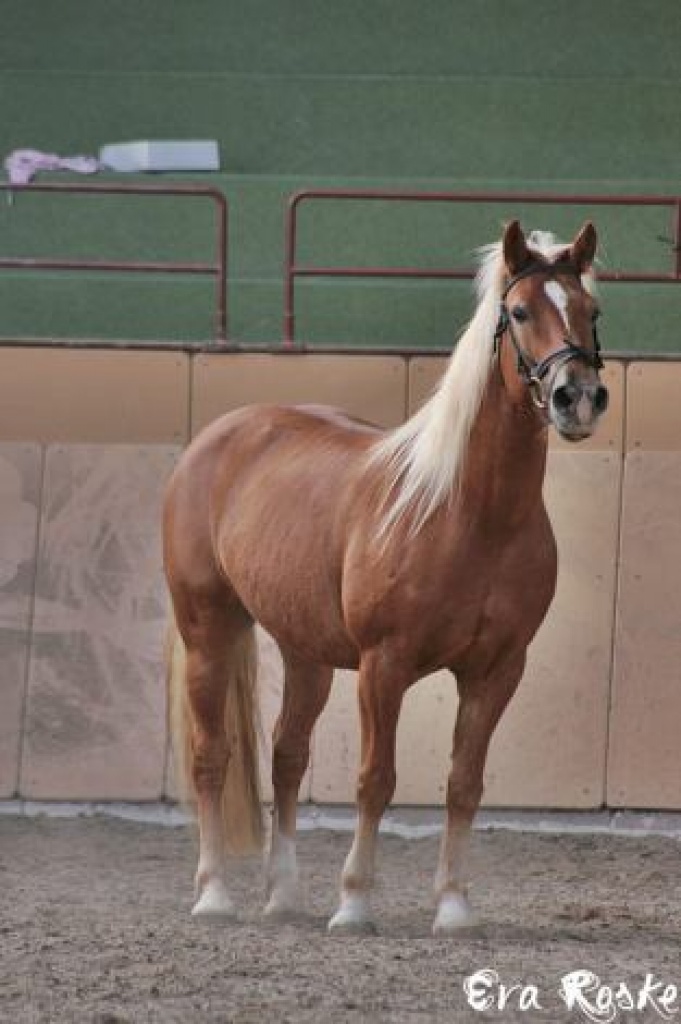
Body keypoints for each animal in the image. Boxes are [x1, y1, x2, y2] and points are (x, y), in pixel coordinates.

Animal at [163, 219, 609, 935]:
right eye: (517, 312)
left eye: (590, 311)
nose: (579, 398)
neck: (472, 514)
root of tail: (219, 436)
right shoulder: (384, 665)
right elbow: (376, 779)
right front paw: (353, 903)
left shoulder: (498, 670)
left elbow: (464, 783)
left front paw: (453, 906)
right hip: (209, 629)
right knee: (212, 757)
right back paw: (215, 895)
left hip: (306, 652)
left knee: (287, 757)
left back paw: (283, 896)